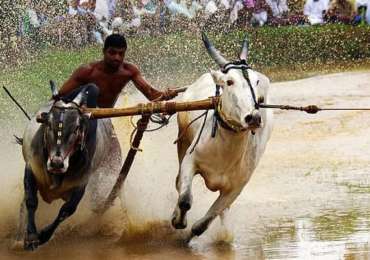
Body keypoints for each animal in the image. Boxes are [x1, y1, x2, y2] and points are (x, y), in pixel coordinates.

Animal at [17, 85, 121, 250]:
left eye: (76, 128)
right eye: (48, 124)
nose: (56, 163)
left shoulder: (81, 184)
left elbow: (66, 211)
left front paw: (44, 235)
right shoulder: (31, 169)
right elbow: (31, 201)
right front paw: (31, 237)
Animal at [172, 33, 274, 239]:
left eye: (256, 82)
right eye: (229, 82)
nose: (253, 117)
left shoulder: (237, 187)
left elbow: (204, 223)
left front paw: (190, 236)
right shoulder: (190, 160)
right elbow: (185, 199)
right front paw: (178, 222)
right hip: (183, 142)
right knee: (178, 184)